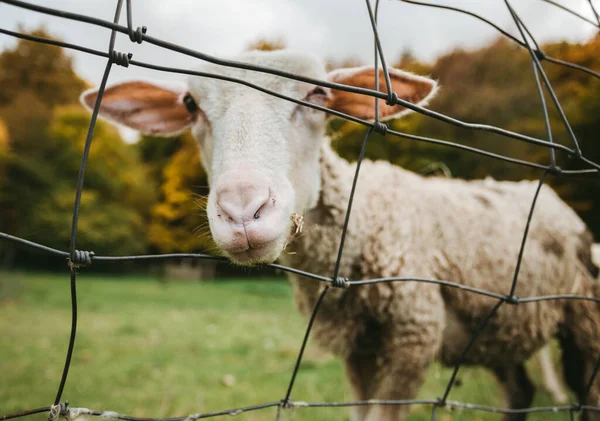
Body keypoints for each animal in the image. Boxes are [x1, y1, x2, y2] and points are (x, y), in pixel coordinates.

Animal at [83, 50, 600, 420]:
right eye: (190, 105)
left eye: (318, 93)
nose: (243, 211)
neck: (363, 221)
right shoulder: (358, 348)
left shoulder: (413, 334)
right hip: (500, 326)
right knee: (519, 390)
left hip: (582, 318)